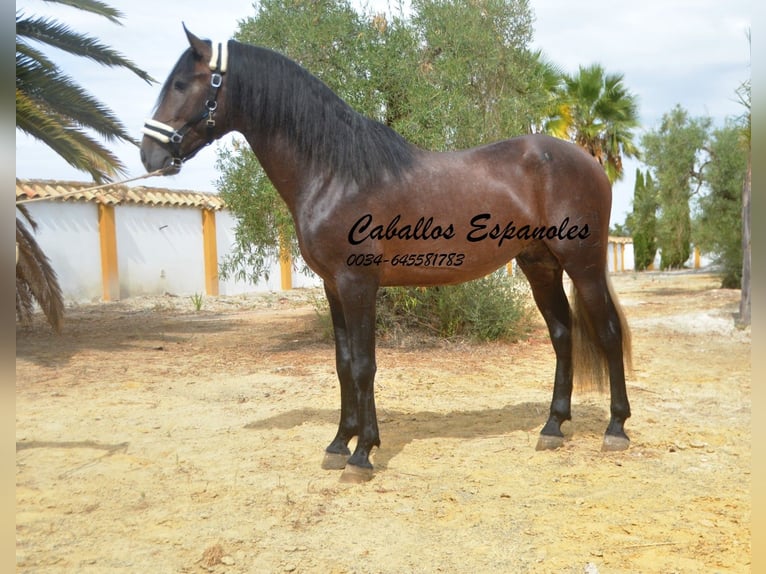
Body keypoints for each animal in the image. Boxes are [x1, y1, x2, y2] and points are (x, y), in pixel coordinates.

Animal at [141, 29, 632, 484]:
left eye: (182, 83)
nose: (150, 154)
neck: (336, 173)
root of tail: (587, 160)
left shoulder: (358, 284)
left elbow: (364, 365)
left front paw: (362, 454)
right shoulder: (334, 286)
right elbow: (343, 364)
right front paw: (339, 443)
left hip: (583, 264)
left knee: (607, 332)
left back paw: (616, 429)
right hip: (540, 265)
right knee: (562, 334)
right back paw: (553, 426)